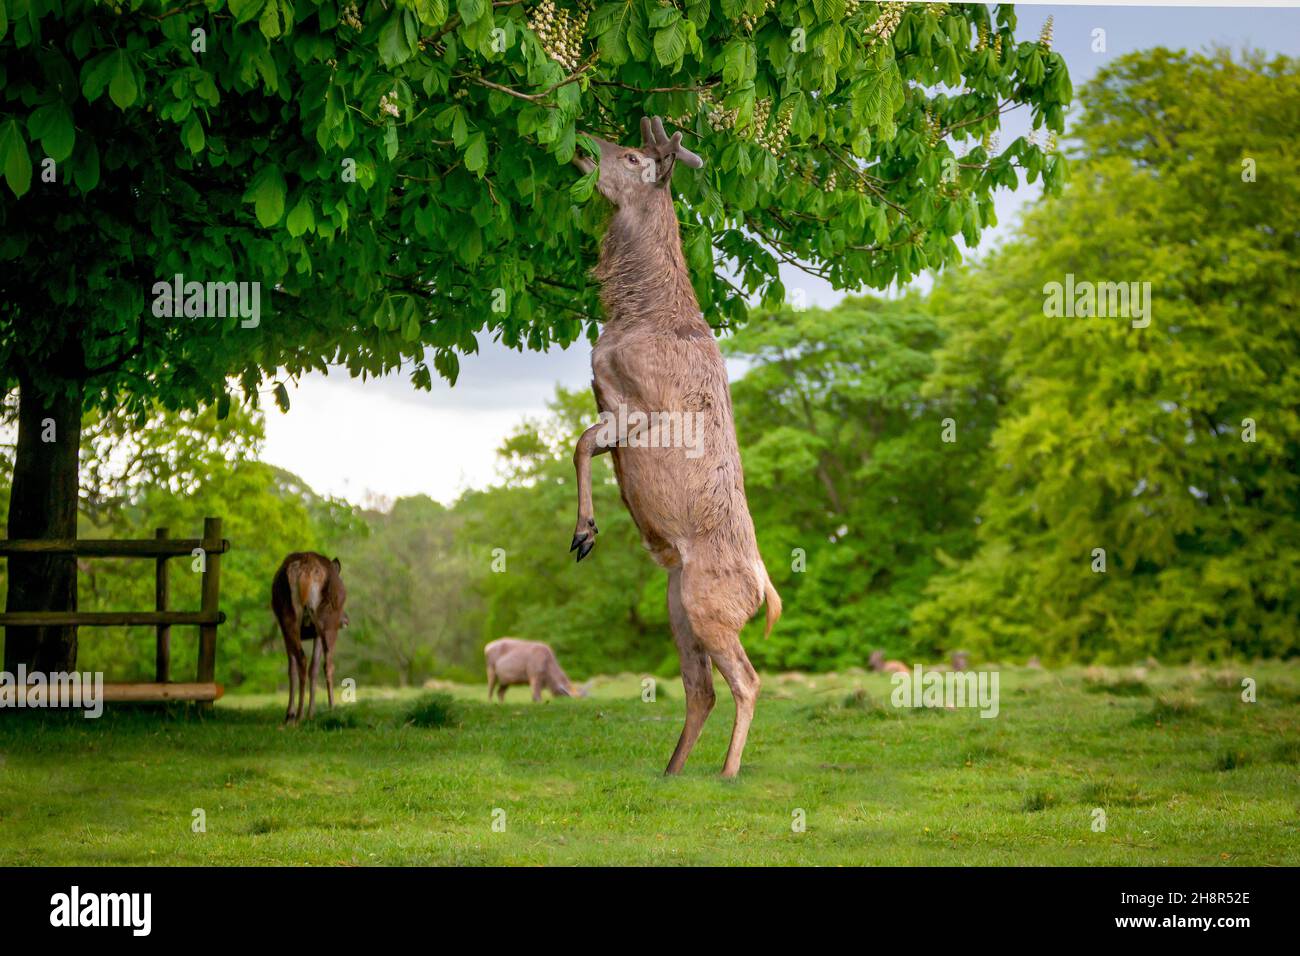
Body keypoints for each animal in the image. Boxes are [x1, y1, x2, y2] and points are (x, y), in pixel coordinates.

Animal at [271, 552, 347, 724]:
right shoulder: (317, 633)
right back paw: (327, 709)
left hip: (289, 617)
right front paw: (311, 712)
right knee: (327, 664)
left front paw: (291, 713)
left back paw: (296, 715)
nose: (346, 620)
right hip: (325, 621)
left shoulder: (285, 631)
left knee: (301, 660)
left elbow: (293, 668)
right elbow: (315, 667)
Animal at [568, 116, 780, 778]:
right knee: (700, 686)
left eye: (632, 156)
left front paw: (585, 533)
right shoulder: (607, 400)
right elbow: (582, 445)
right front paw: (586, 530)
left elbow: (578, 444)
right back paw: (671, 771)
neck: (633, 314)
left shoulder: (641, 407)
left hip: (710, 605)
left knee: (746, 679)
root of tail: (765, 595)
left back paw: (727, 773)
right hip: (677, 605)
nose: (583, 139)